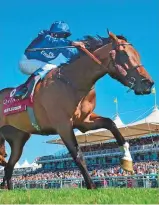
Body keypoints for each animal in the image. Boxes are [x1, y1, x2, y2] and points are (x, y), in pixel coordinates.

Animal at [0, 30, 153, 189]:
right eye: (125, 54)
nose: (148, 83)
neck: (73, 83)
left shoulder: (84, 121)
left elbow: (111, 124)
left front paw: (127, 159)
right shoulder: (63, 125)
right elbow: (78, 155)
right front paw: (91, 186)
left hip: (18, 139)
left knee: (9, 166)